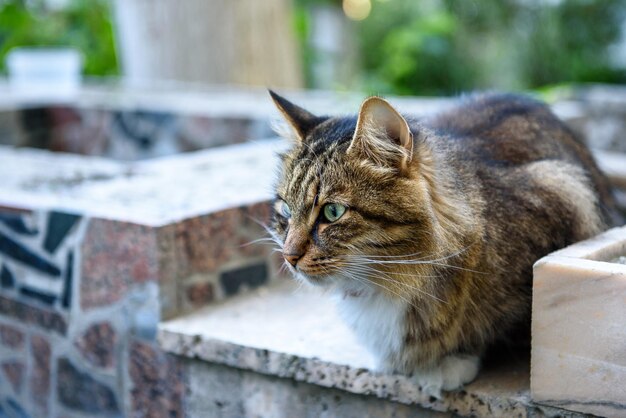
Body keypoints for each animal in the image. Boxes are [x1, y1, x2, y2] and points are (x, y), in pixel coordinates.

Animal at [266, 90, 620, 396]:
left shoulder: (563, 190)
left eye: (333, 212)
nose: (289, 257)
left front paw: (449, 362)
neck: (387, 280)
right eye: (285, 209)